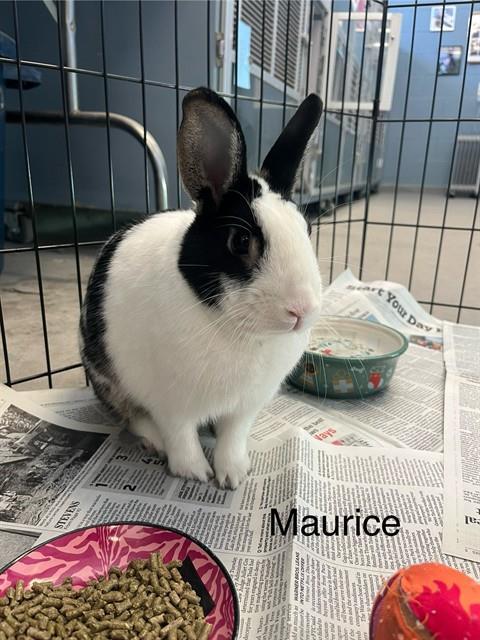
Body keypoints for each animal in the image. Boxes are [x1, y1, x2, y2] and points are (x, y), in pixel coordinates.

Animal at [80, 87, 323, 489]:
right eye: (240, 241)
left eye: (306, 229)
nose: (301, 311)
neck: (240, 331)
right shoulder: (170, 402)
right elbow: (180, 435)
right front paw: (194, 473)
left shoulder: (244, 407)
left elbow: (232, 436)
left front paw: (233, 476)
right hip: (106, 378)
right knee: (134, 417)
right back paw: (153, 442)